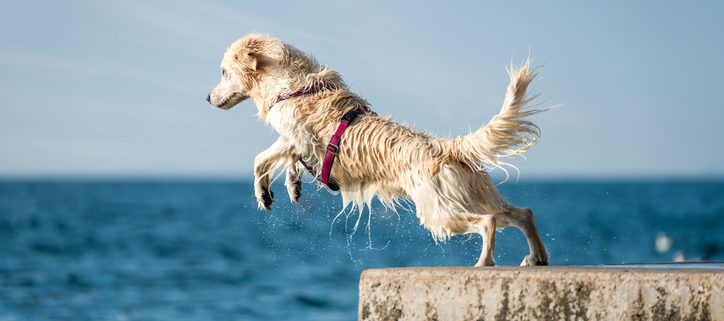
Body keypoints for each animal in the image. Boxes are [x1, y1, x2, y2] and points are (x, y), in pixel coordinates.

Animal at [208, 33, 548, 266]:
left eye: (224, 72)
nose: (208, 98)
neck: (291, 84)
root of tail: (446, 146)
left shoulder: (297, 136)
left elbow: (260, 159)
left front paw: (262, 193)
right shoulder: (296, 143)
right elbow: (288, 163)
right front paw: (291, 187)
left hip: (439, 212)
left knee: (488, 222)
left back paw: (484, 263)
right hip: (473, 196)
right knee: (523, 214)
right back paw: (536, 258)